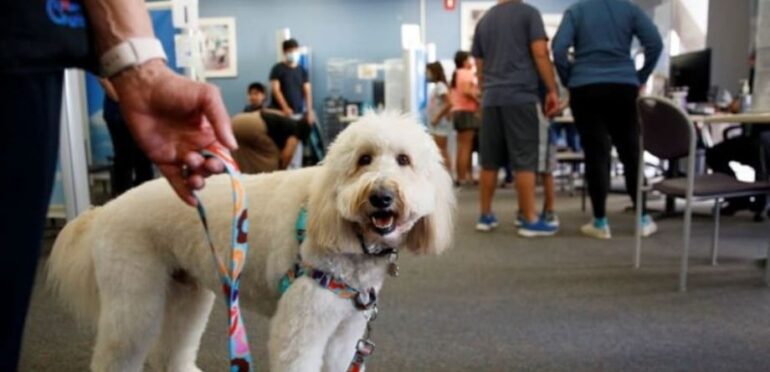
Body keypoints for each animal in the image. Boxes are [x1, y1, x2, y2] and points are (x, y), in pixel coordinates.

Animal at [48, 114, 452, 372]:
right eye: (363, 159)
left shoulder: (345, 332)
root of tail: (106, 209)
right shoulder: (301, 326)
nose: (381, 196)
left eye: (404, 160)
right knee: (117, 353)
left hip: (187, 293)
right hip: (133, 298)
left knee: (170, 354)